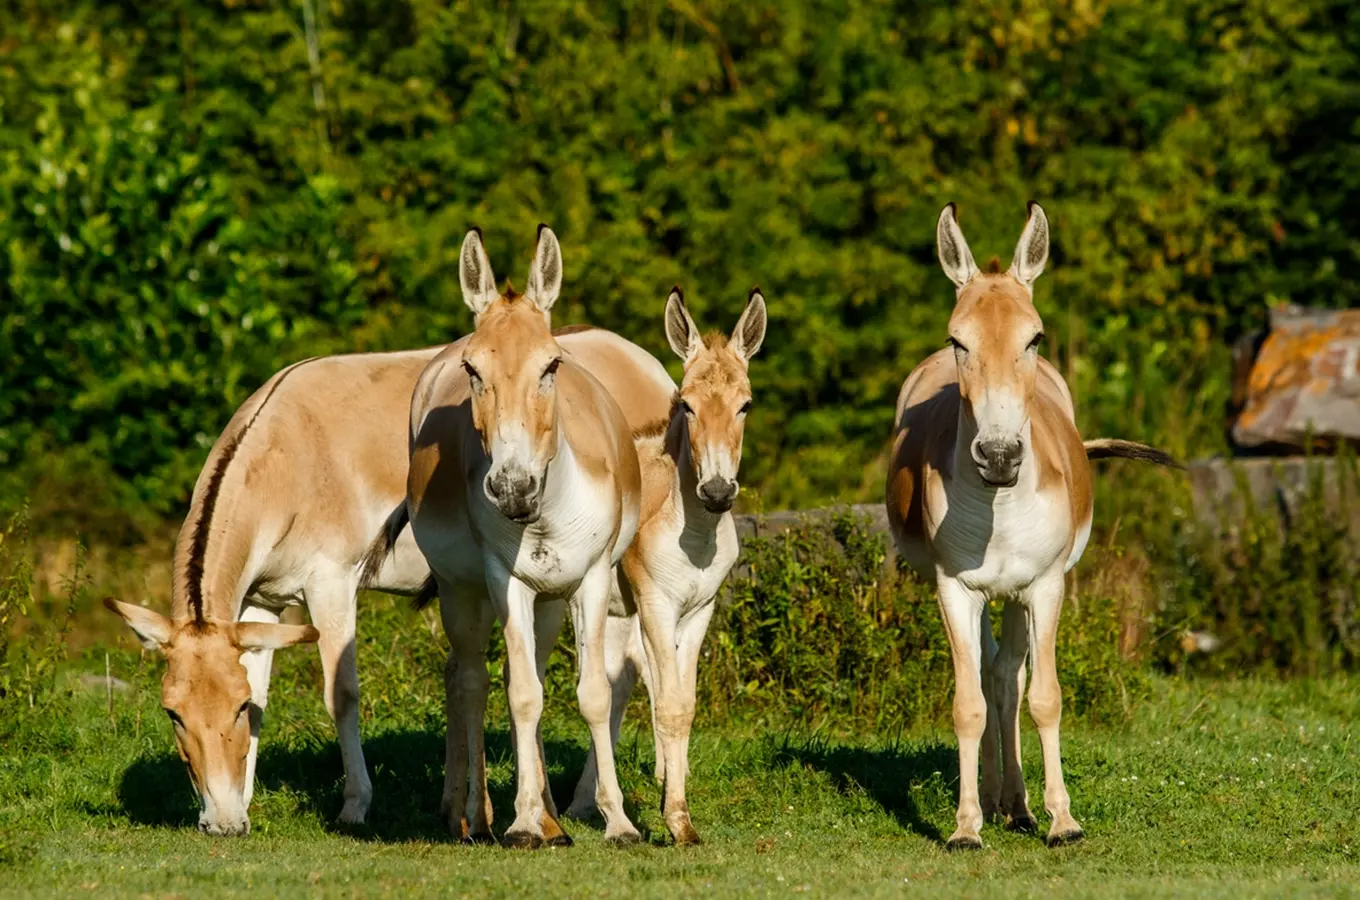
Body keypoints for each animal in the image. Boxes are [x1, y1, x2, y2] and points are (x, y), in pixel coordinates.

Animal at [399, 229, 644, 848]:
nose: (513, 489)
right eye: (473, 370)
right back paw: (476, 815)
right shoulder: (503, 580)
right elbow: (524, 695)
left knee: (506, 674)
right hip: (463, 594)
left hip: (548, 602)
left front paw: (618, 822)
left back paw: (551, 818)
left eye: (551, 365)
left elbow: (592, 694)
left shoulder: (589, 581)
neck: (543, 517)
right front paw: (523, 822)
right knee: (471, 681)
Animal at [565, 289, 767, 848]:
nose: (717, 492)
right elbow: (669, 704)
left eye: (746, 404)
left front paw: (669, 800)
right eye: (687, 404)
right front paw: (677, 819)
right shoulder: (657, 604)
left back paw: (584, 805)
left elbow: (684, 704)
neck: (692, 529)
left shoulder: (699, 610)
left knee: (610, 689)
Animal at [886, 203, 1175, 853]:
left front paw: (1063, 821)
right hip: (989, 596)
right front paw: (965, 827)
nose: (998, 456)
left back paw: (1017, 807)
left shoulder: (1044, 587)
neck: (998, 510)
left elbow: (1044, 698)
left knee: (1009, 677)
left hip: (1019, 595)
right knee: (991, 677)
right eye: (957, 339)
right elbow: (967, 704)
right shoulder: (955, 589)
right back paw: (998, 802)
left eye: (1034, 338)